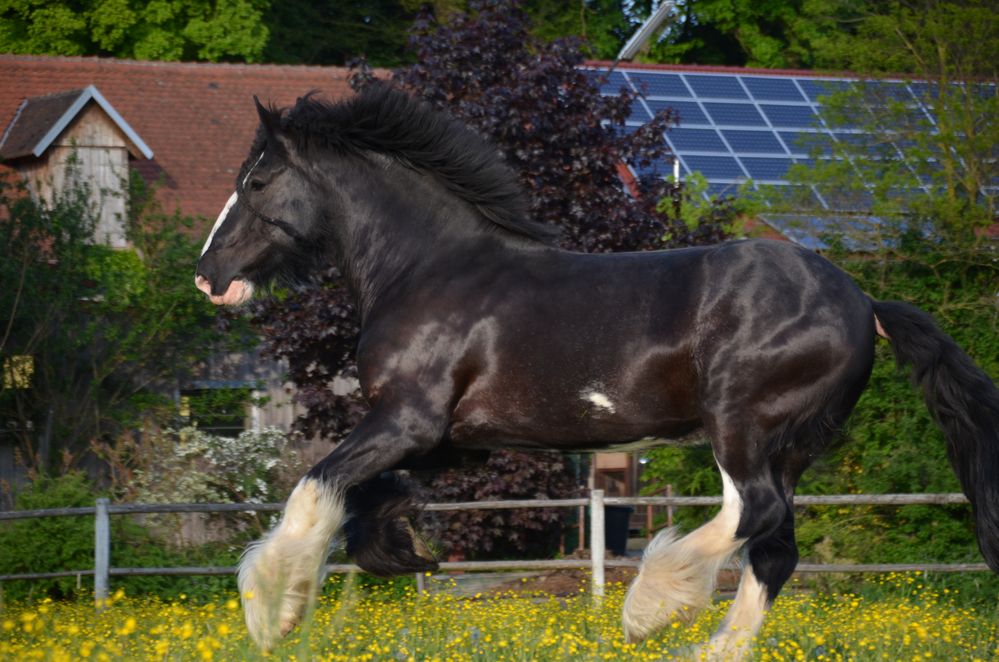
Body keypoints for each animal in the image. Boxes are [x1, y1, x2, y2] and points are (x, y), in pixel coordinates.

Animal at [197, 84, 999, 660]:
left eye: (257, 180)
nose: (209, 277)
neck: (427, 270)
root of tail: (862, 300)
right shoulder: (450, 443)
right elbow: (363, 502)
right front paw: (400, 558)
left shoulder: (405, 421)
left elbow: (314, 486)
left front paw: (272, 616)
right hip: (793, 442)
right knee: (775, 549)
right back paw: (706, 647)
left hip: (741, 422)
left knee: (754, 512)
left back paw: (648, 610)